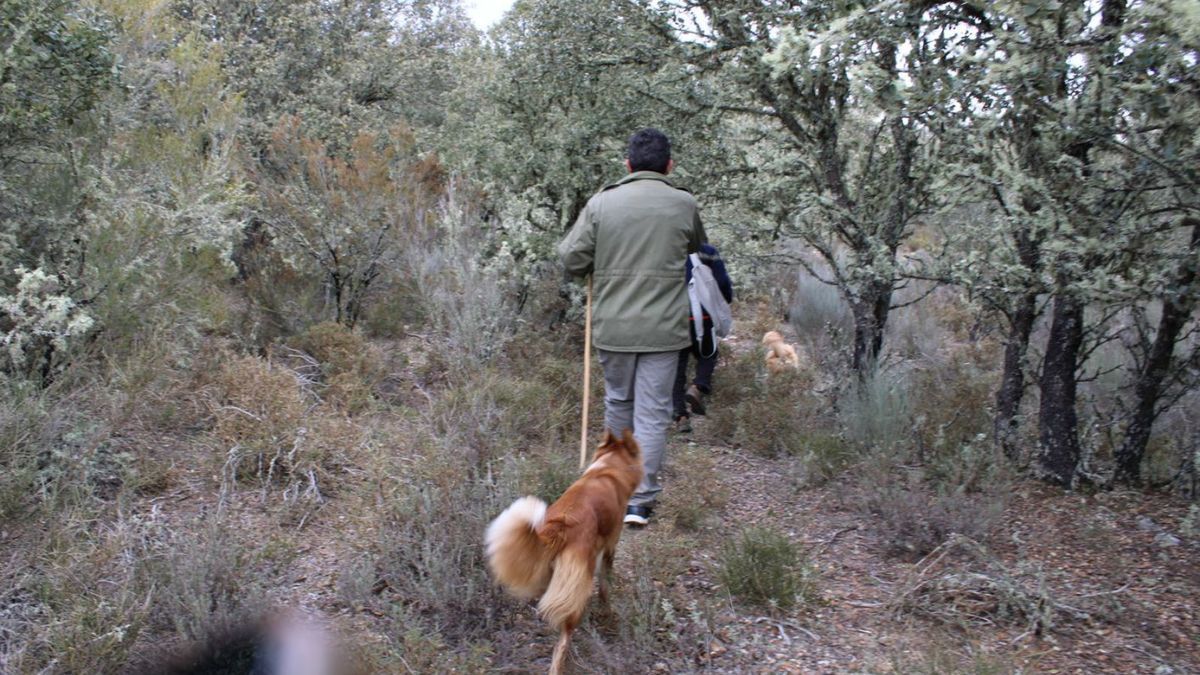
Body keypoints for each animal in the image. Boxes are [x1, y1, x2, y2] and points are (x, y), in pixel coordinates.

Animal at [482, 427, 643, 667]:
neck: (607, 469)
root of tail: (560, 526)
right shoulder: (610, 546)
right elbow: (605, 589)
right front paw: (608, 615)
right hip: (579, 580)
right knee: (563, 640)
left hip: (550, 571)